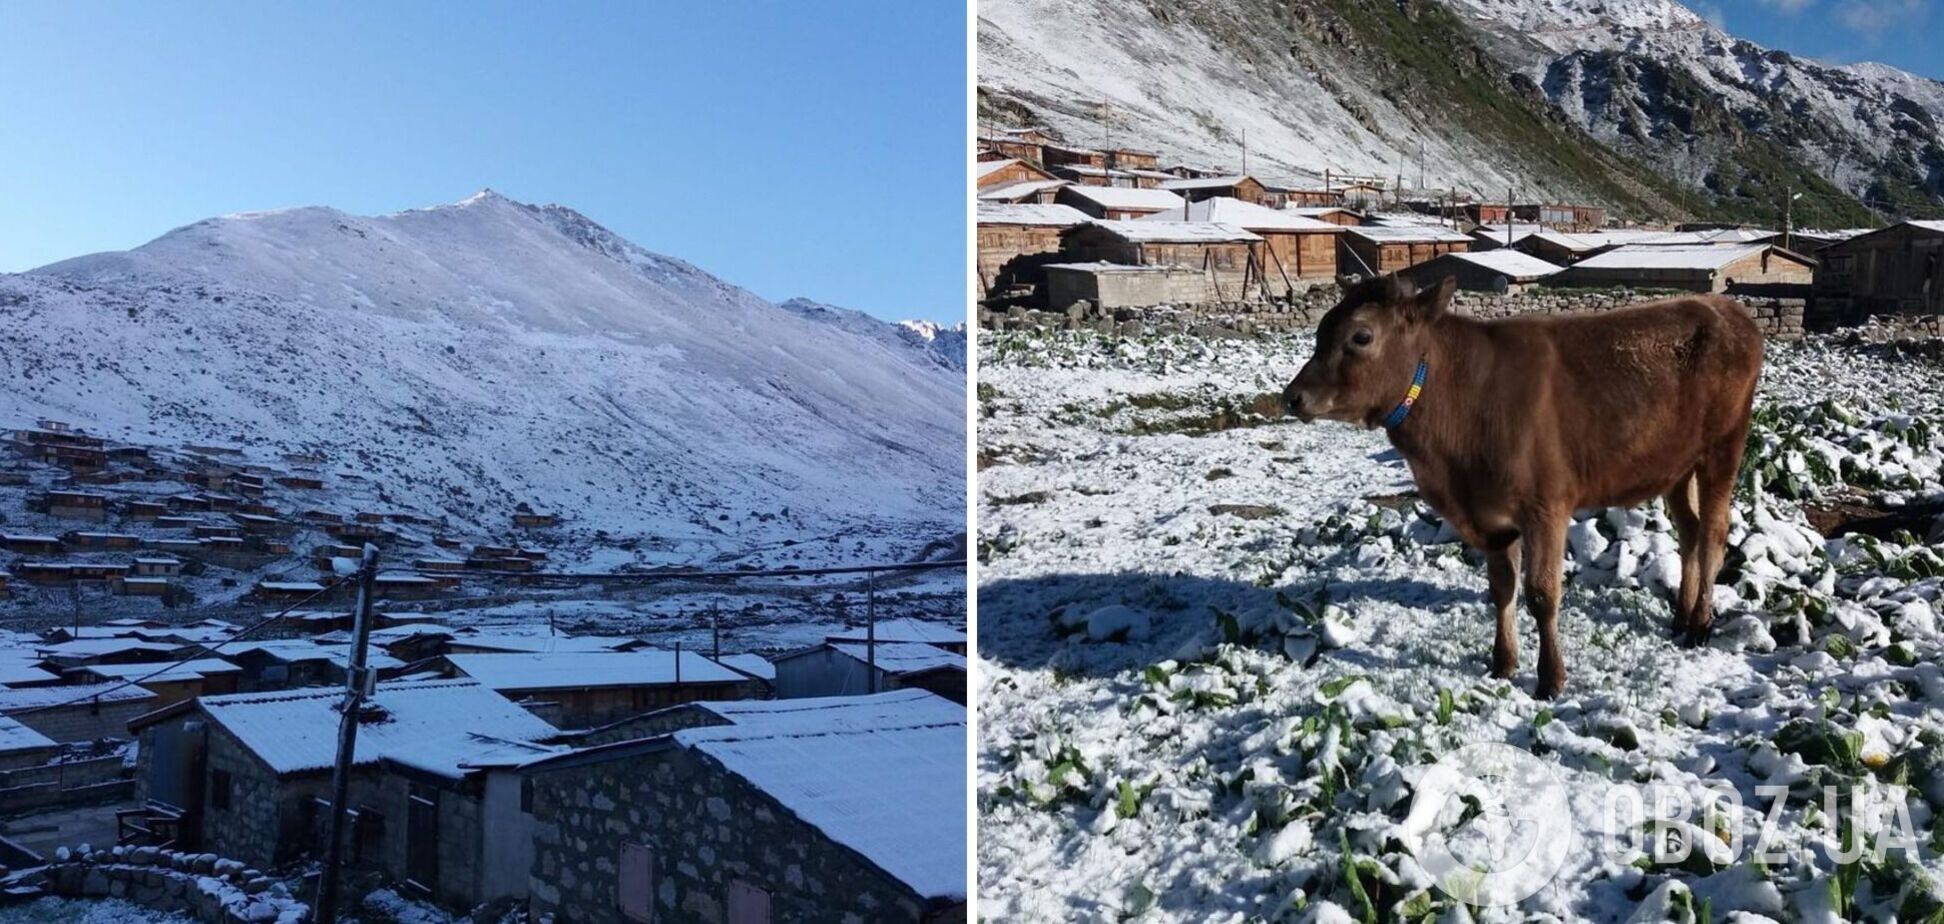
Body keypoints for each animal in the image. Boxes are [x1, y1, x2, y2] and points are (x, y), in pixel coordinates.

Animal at [1290, 278, 1765, 696]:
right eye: (1320, 330)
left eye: (1361, 336)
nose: (1293, 397)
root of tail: (1725, 307)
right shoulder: (1490, 516)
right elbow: (1502, 589)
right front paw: (1503, 663)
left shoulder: (1546, 506)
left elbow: (1541, 594)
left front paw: (1550, 679)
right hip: (1676, 464)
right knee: (1689, 530)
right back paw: (1681, 617)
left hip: (1724, 447)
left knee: (1713, 533)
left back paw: (1700, 623)